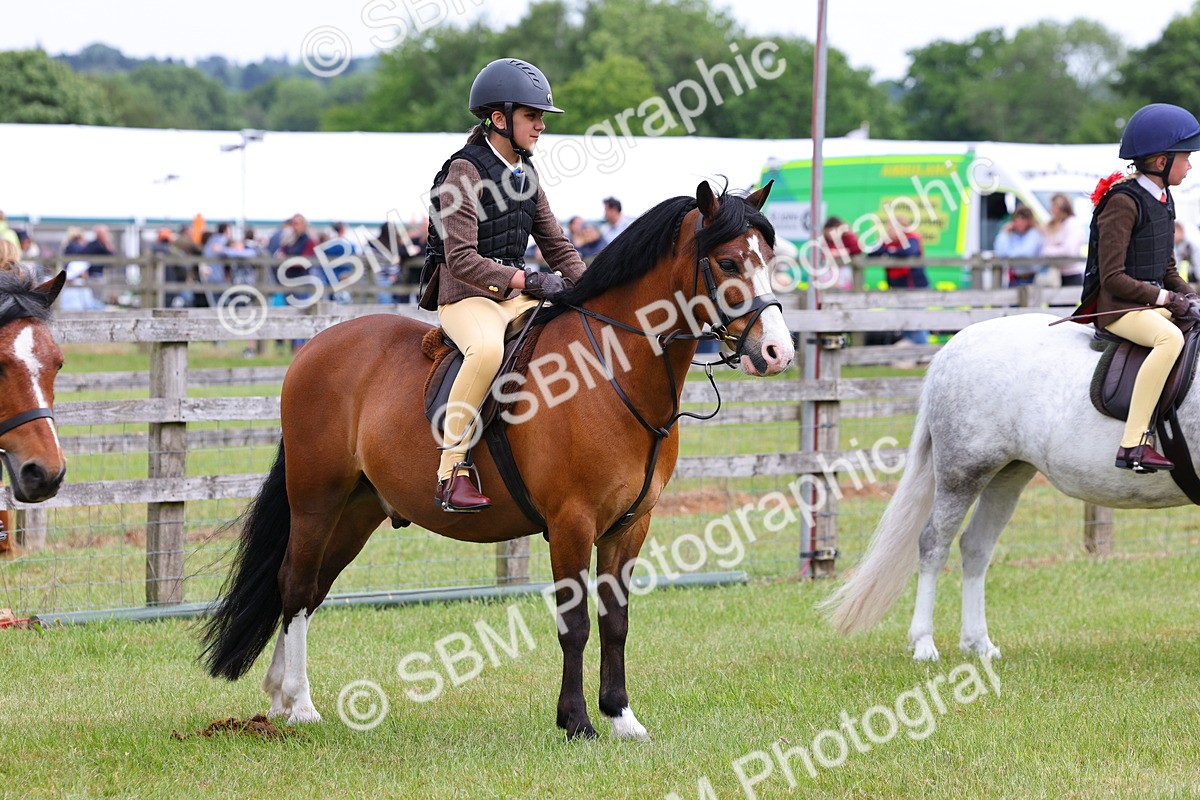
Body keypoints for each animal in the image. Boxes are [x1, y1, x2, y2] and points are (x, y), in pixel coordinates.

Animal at [202, 181, 795, 739]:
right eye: (728, 262)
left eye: (771, 258)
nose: (778, 353)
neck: (610, 370)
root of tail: (313, 349)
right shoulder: (572, 523)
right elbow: (576, 623)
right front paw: (576, 722)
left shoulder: (630, 526)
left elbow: (616, 621)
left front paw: (622, 717)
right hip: (316, 502)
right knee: (296, 585)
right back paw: (300, 705)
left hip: (357, 510)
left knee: (308, 590)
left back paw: (280, 699)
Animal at [823, 311, 1200, 661]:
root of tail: (954, 346)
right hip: (963, 473)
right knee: (934, 544)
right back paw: (924, 644)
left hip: (1008, 475)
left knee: (976, 547)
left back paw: (979, 644)